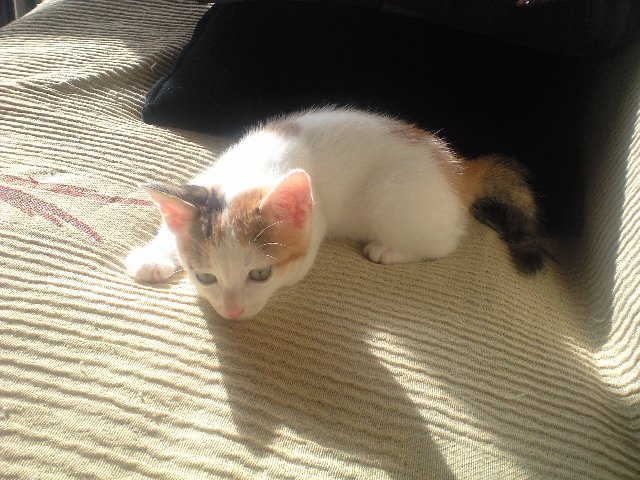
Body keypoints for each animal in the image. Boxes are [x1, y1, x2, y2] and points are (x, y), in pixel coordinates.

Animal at [126, 108, 544, 320]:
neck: (251, 169)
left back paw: (388, 250)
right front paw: (153, 256)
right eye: (206, 277)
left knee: (444, 243)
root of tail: (460, 169)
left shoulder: (317, 218)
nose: (230, 312)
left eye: (260, 275)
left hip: (390, 198)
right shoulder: (207, 178)